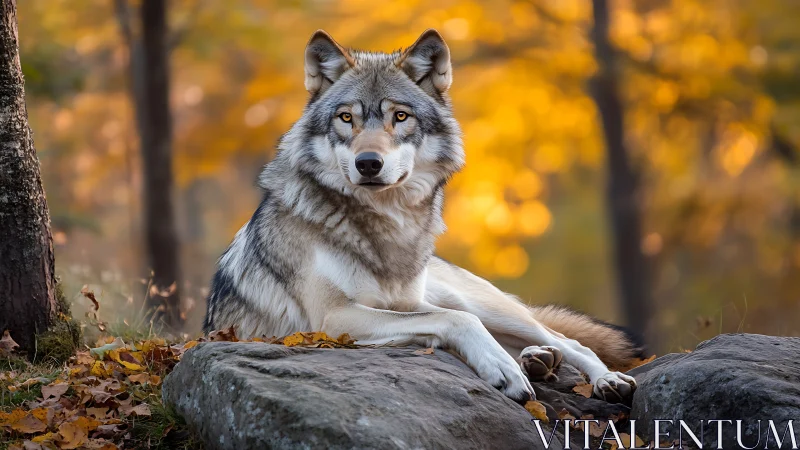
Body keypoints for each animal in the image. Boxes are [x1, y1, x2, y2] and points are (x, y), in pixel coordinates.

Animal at [203, 29, 644, 404]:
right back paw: (537, 360)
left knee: (567, 339)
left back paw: (602, 377)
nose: (368, 163)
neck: (389, 225)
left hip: (482, 302)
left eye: (400, 117)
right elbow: (456, 323)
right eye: (346, 118)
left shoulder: (401, 305)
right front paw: (502, 367)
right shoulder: (333, 318)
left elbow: (454, 320)